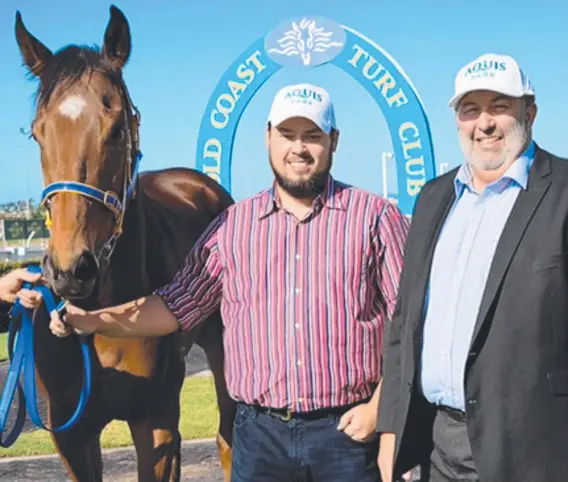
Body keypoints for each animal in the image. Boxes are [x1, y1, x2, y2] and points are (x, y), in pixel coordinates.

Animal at [13, 4, 236, 482]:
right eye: (38, 133)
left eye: (116, 129)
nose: (70, 270)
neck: (101, 315)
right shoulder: (72, 436)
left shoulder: (156, 423)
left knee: (228, 435)